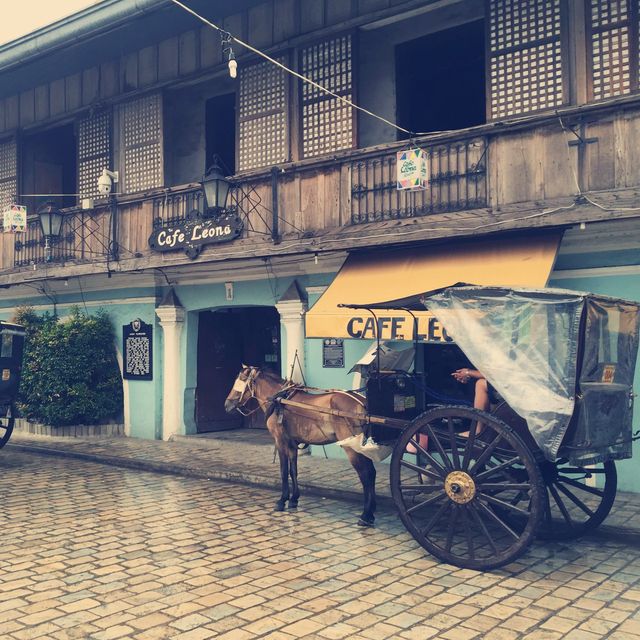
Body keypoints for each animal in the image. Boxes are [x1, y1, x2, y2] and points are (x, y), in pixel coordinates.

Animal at [225, 364, 378, 524]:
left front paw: (282, 500)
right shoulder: (292, 444)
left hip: (352, 447)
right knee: (371, 472)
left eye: (241, 380)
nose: (226, 404)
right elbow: (293, 471)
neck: (279, 399)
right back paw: (371, 510)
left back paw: (366, 514)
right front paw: (293, 499)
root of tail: (362, 403)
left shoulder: (280, 441)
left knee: (365, 473)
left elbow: (283, 471)